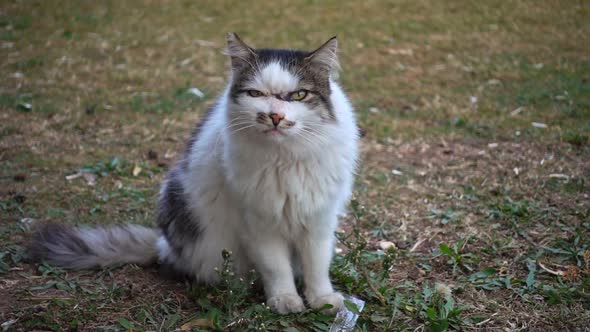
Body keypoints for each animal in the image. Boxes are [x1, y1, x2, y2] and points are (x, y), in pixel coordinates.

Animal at [28, 32, 360, 316]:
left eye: (299, 95)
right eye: (255, 93)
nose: (275, 117)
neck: (286, 158)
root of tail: (163, 245)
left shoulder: (319, 219)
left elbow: (317, 266)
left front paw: (322, 300)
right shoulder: (259, 223)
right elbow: (276, 268)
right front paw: (285, 300)